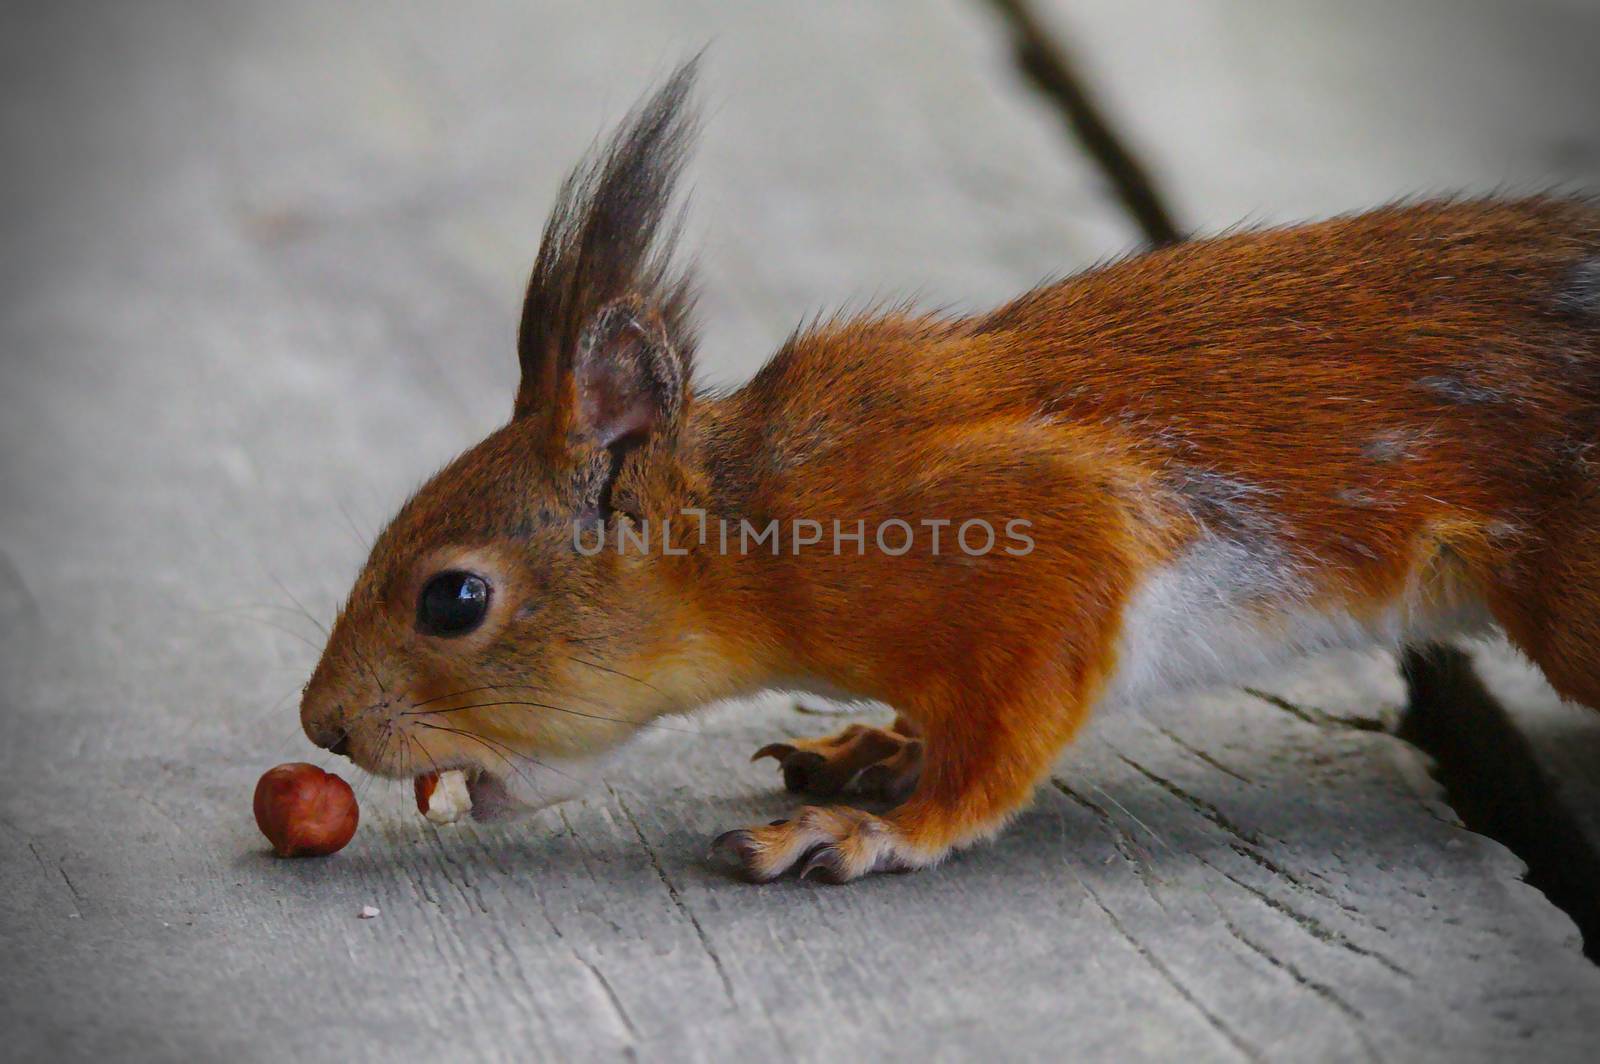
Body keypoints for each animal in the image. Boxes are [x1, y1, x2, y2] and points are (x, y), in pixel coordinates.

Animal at [300, 62, 1600, 883]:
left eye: (453, 597)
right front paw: (879, 750)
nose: (325, 727)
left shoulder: (1044, 526)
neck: (764, 526)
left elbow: (1004, 740)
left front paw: (881, 825)